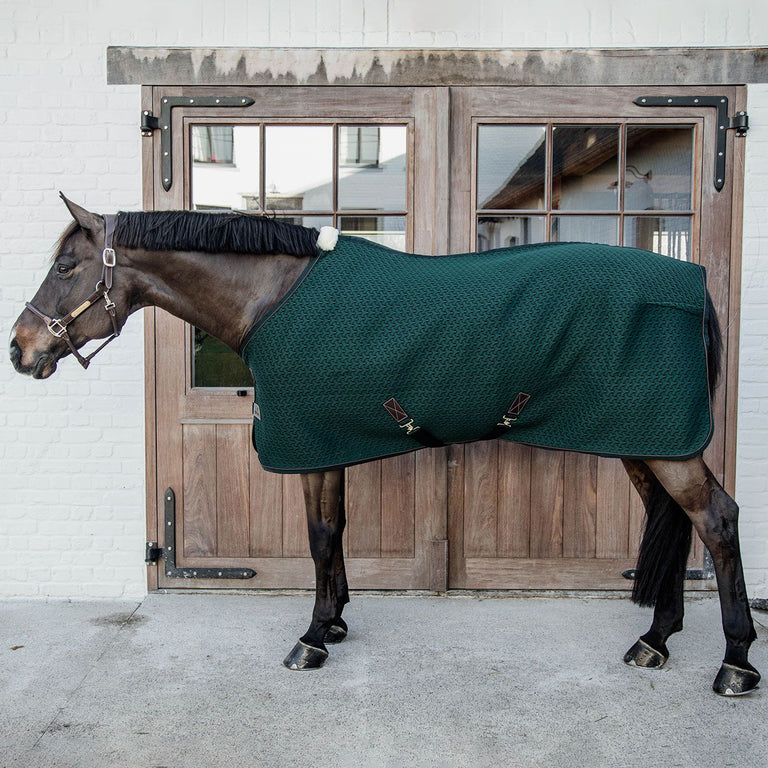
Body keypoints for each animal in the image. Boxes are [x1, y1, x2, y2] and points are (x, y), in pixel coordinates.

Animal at [10, 195, 760, 696]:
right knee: (674, 520)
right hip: (642, 437)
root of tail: (690, 286)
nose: (20, 349)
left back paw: (736, 664)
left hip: (667, 444)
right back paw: (655, 641)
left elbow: (318, 536)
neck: (272, 298)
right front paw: (336, 622)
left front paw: (312, 639)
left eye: (69, 265)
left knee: (717, 521)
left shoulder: (308, 444)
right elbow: (336, 531)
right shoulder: (327, 444)